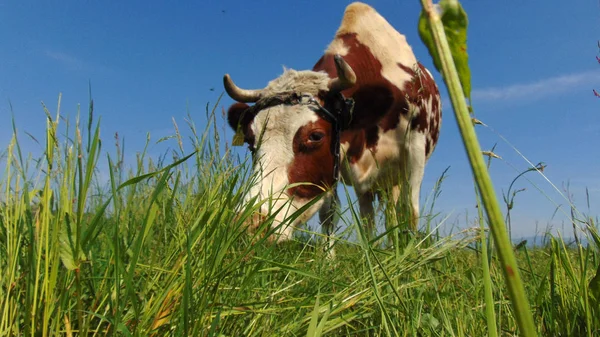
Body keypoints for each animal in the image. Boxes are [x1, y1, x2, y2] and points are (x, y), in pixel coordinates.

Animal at [224, 1, 440, 251]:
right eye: (250, 142)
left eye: (316, 136)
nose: (249, 224)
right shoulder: (337, 161)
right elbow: (330, 213)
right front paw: (328, 257)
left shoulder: (415, 150)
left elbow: (411, 211)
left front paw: (410, 253)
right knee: (369, 216)